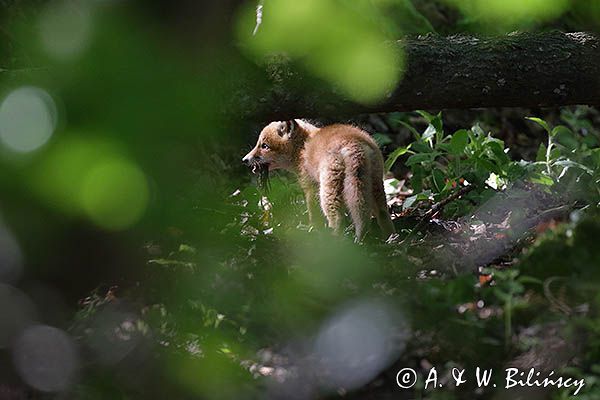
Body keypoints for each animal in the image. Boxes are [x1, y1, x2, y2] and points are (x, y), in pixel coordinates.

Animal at [241, 119, 396, 241]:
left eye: (264, 146)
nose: (244, 160)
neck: (302, 148)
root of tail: (352, 143)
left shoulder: (310, 187)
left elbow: (313, 213)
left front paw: (312, 228)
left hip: (327, 192)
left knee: (337, 218)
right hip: (375, 185)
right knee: (382, 213)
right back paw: (389, 238)